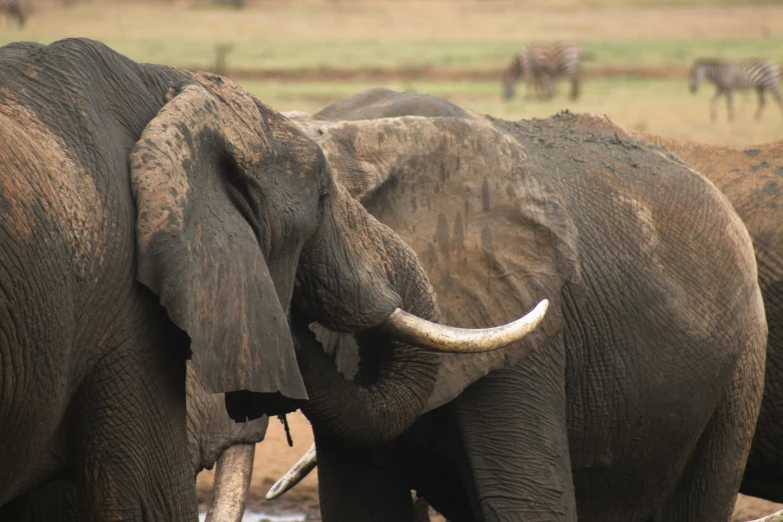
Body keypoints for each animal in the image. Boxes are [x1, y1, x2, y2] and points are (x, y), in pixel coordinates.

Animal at [274, 89, 764, 520]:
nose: (291, 330)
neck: (363, 134)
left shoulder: (521, 315)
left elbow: (526, 499)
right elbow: (358, 501)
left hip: (741, 363)